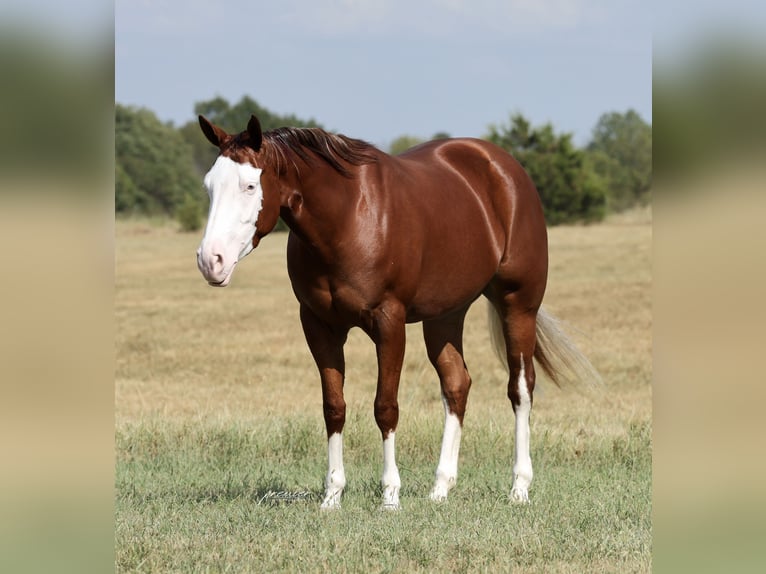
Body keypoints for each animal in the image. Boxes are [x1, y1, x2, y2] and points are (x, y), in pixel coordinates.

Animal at [195, 114, 599, 510]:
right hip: (445, 315)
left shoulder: (389, 322)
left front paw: (390, 495)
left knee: (521, 388)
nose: (210, 261)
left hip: (518, 305)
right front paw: (332, 496)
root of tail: (504, 167)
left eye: (250, 186)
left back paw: (519, 488)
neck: (347, 218)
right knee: (457, 384)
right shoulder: (318, 325)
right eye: (209, 186)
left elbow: (385, 406)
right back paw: (440, 488)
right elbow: (334, 407)